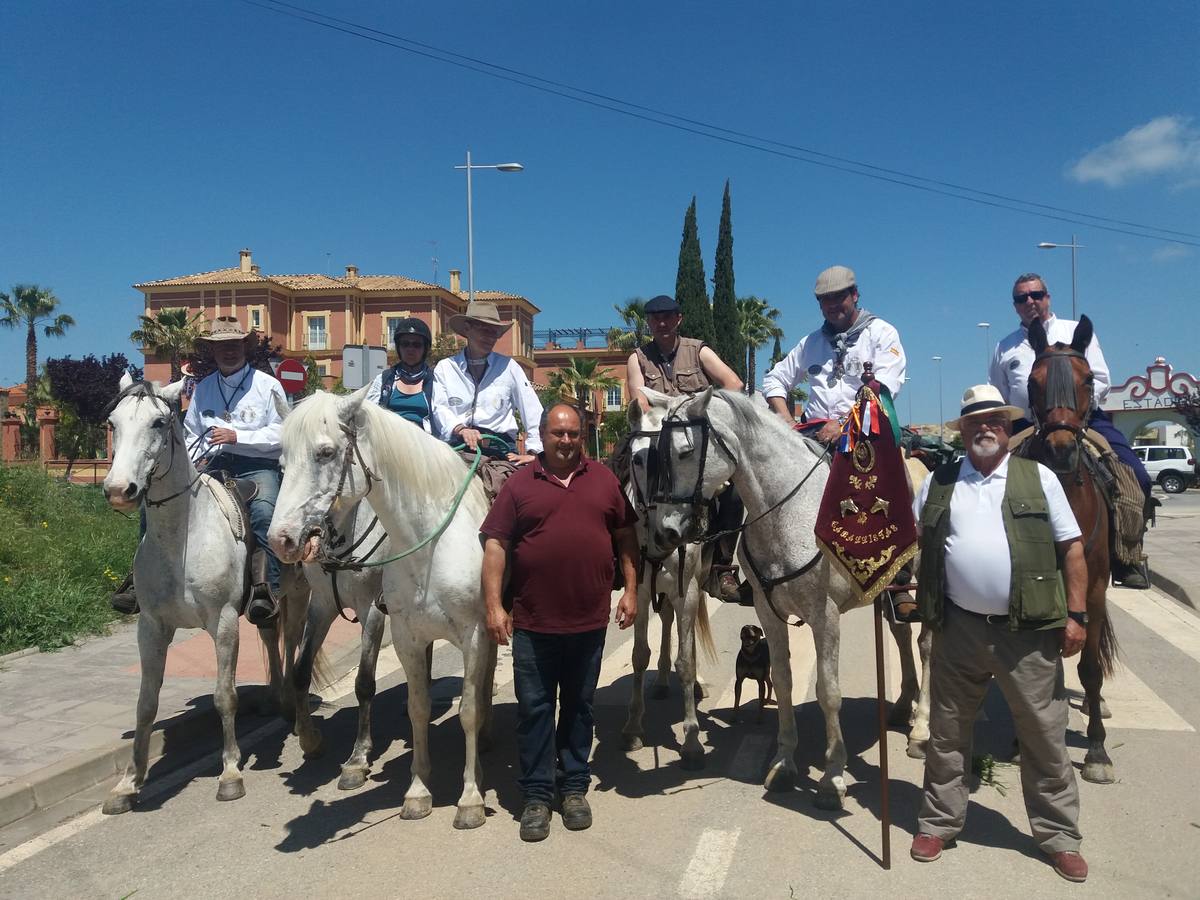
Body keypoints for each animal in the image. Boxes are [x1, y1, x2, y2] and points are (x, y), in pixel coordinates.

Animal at [101, 376, 290, 816]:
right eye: (112, 422)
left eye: (158, 422)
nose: (119, 490)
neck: (181, 539)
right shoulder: (151, 626)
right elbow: (146, 704)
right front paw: (128, 783)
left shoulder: (223, 622)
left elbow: (225, 696)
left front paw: (231, 773)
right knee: (269, 632)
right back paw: (275, 696)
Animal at [268, 388, 496, 830]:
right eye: (282, 463)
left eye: (325, 453)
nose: (281, 540)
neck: (430, 542)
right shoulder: (397, 632)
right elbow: (416, 706)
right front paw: (418, 790)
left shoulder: (469, 634)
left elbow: (467, 710)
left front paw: (470, 798)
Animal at [614, 400, 715, 768]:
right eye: (638, 459)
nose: (668, 535)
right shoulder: (641, 593)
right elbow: (639, 654)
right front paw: (632, 726)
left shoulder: (687, 590)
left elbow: (685, 661)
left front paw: (692, 739)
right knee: (668, 621)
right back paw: (659, 680)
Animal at [638, 391, 926, 816]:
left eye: (685, 452)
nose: (664, 532)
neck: (790, 513)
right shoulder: (768, 612)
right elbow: (784, 682)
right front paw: (784, 764)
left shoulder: (825, 617)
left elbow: (829, 693)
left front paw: (832, 778)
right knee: (902, 634)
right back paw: (904, 705)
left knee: (925, 645)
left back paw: (921, 730)